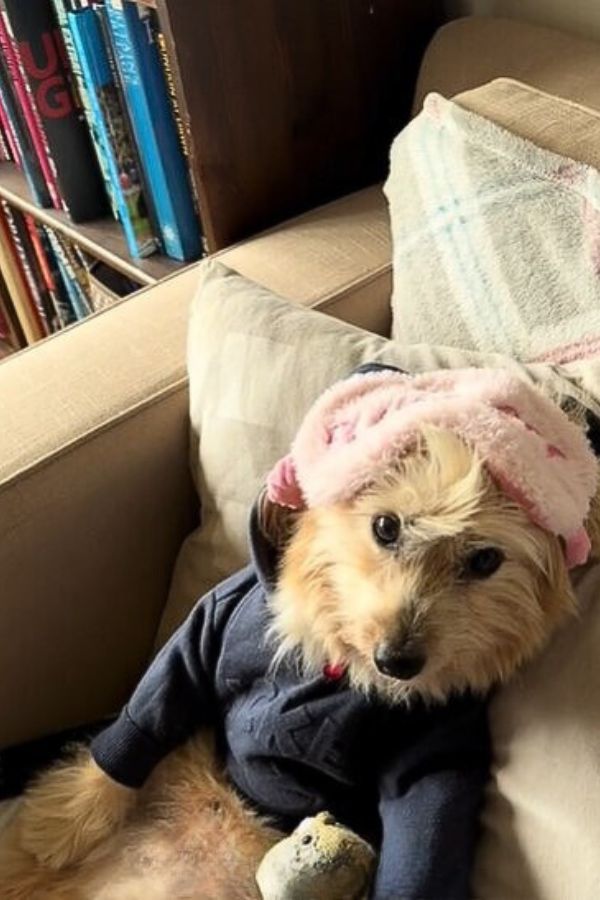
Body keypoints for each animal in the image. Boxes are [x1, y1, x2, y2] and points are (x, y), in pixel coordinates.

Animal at [1, 368, 600, 900]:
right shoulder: (206, 630)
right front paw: (65, 821)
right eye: (386, 526)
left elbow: (427, 814)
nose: (398, 661)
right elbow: (150, 710)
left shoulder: (438, 744)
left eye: (485, 560)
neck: (341, 661)